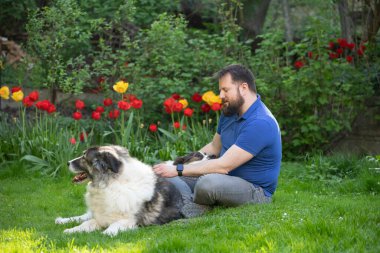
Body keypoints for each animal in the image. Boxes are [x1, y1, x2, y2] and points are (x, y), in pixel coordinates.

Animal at [56, 145, 217, 236]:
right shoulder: (101, 216)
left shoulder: (130, 220)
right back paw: (62, 220)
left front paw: (106, 233)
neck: (112, 182)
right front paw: (72, 230)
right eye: (198, 155)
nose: (68, 163)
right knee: (84, 216)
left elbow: (112, 226)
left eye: (84, 157)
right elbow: (86, 223)